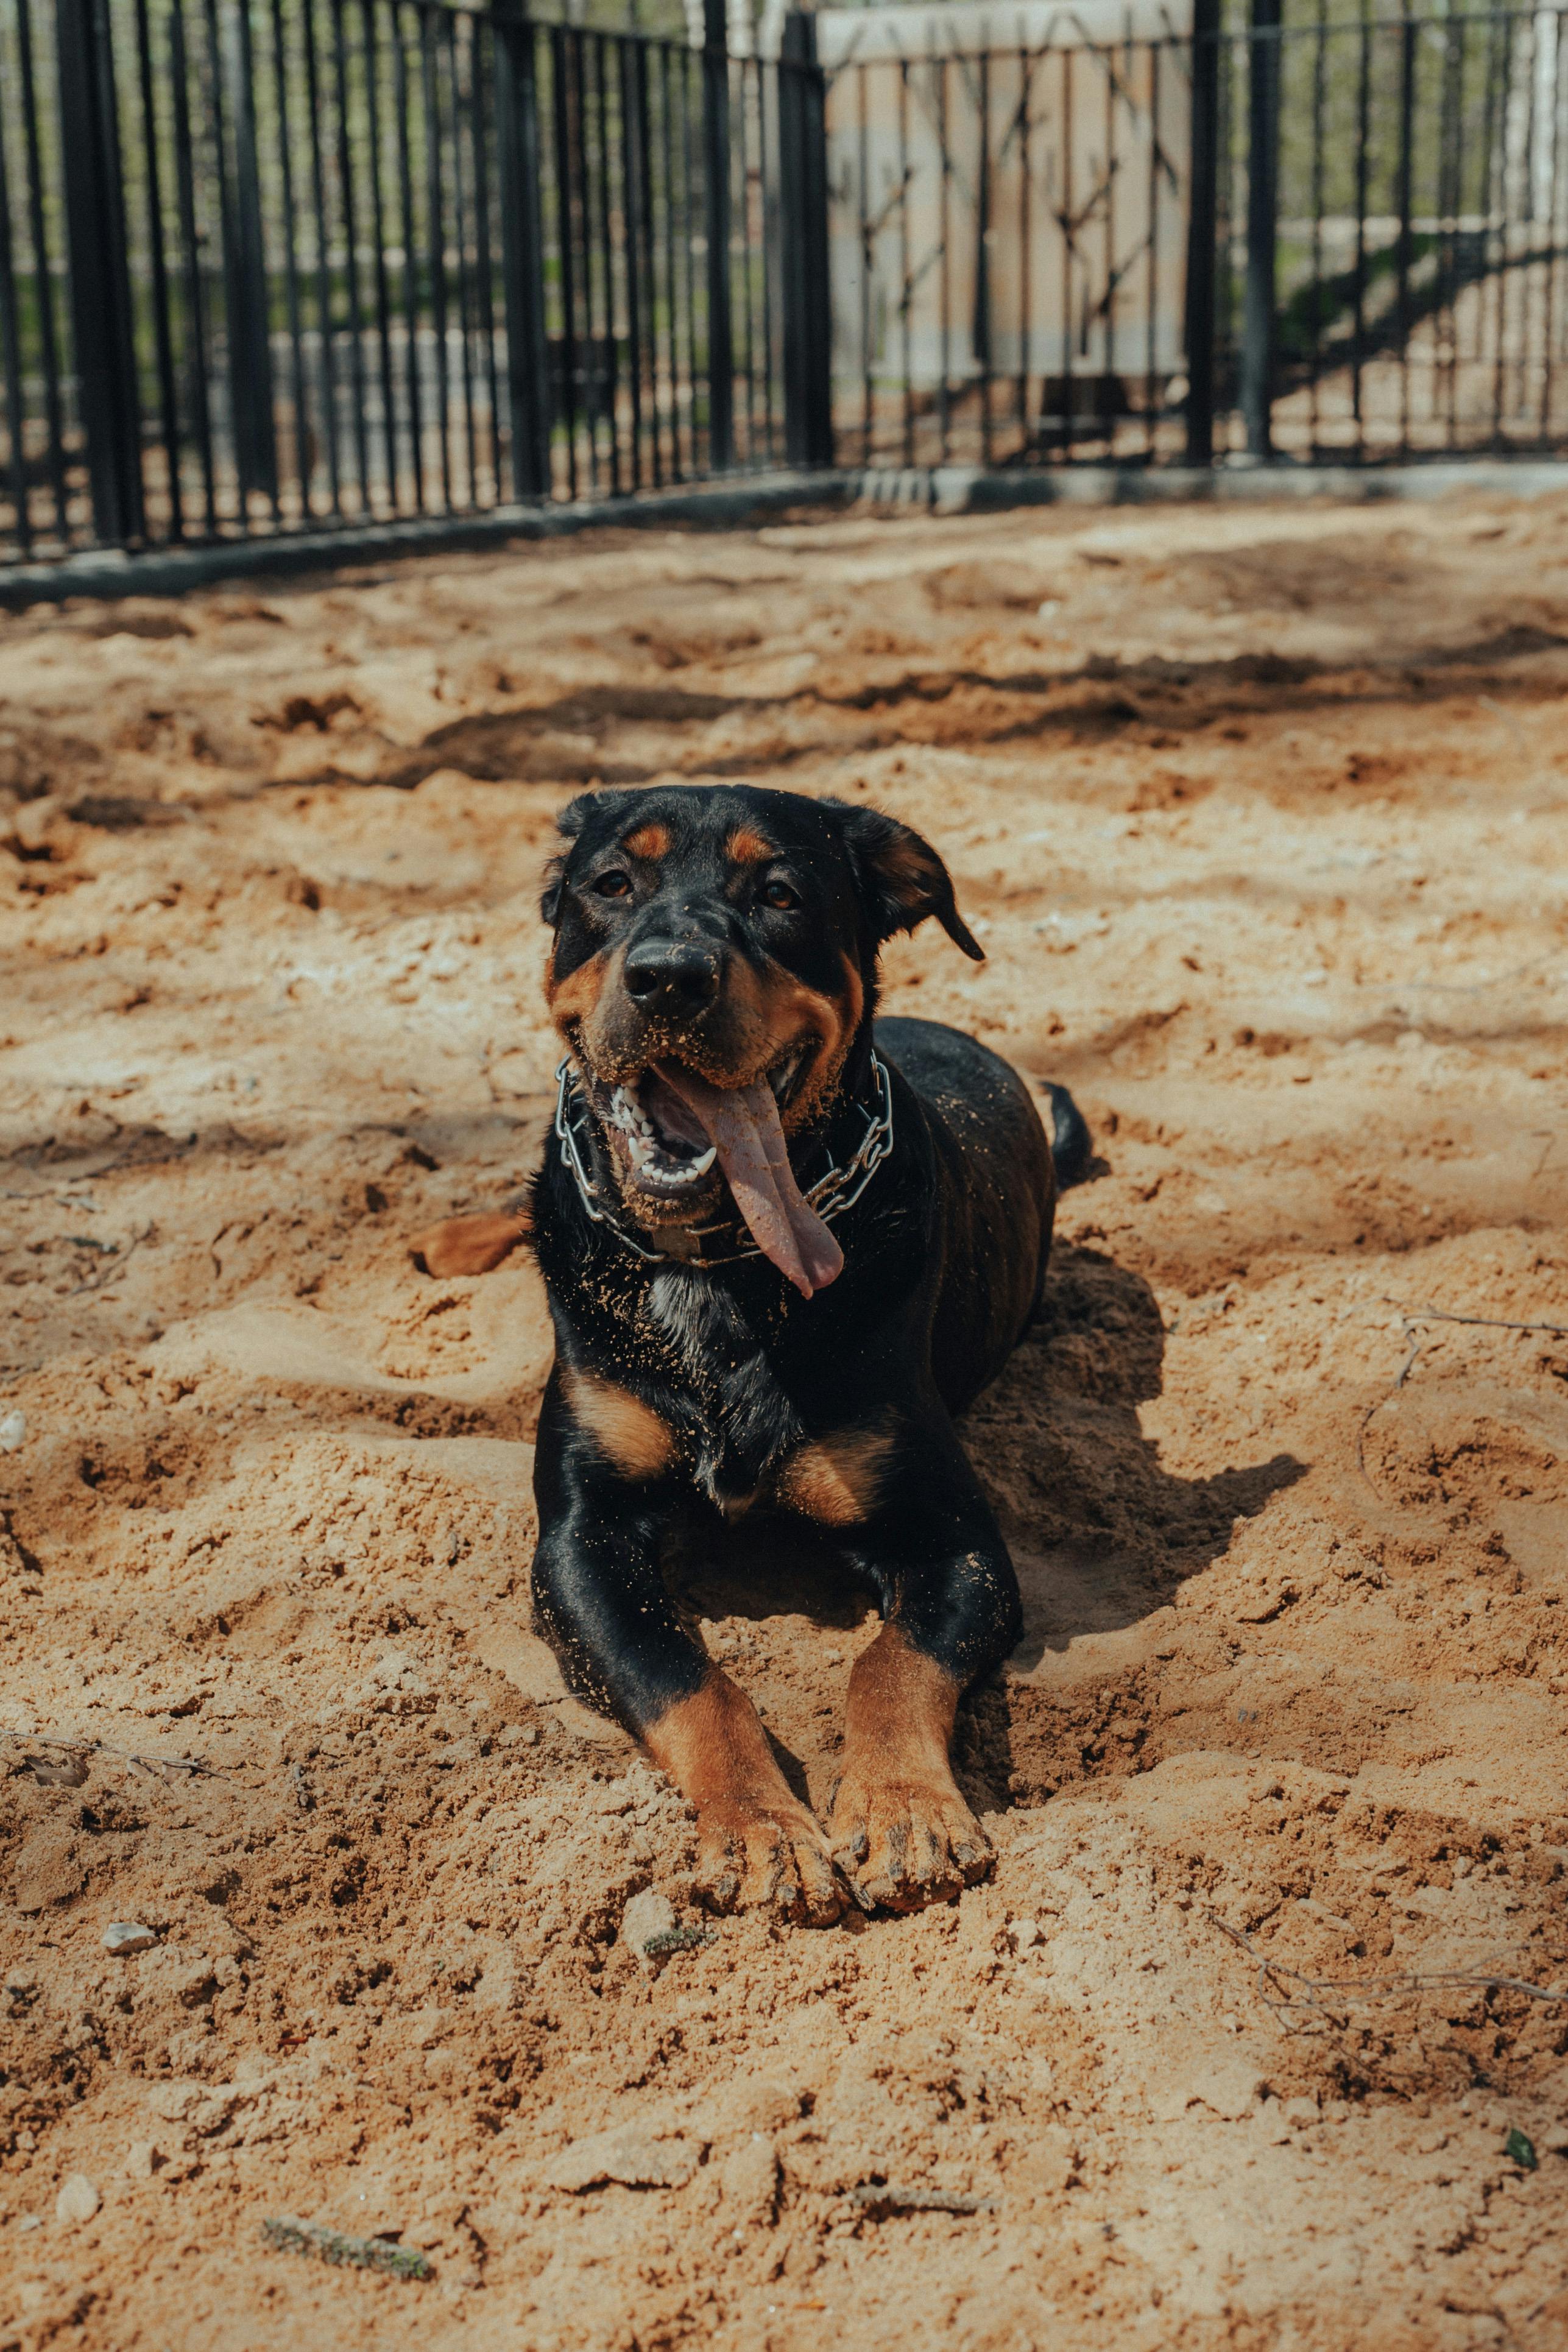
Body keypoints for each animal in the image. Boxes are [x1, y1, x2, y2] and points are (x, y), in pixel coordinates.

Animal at [414, 780, 1090, 1919]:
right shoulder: (580, 1540)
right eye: (611, 884)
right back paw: (447, 1235)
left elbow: (890, 1666)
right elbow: (690, 1681)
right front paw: (764, 1828)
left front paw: (903, 1809)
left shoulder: (954, 1542)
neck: (719, 1265)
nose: (668, 978)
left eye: (778, 894)